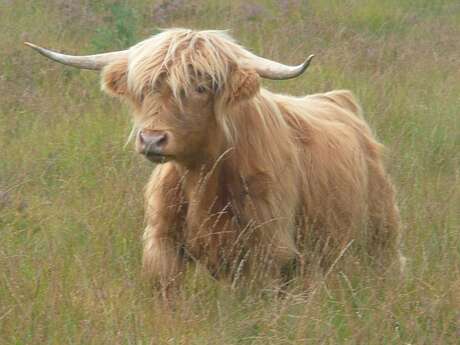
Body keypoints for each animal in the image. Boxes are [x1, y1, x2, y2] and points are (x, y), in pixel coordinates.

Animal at [27, 28, 404, 292]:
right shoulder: (162, 243)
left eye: (201, 87)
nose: (152, 139)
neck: (201, 178)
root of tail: (338, 100)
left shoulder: (269, 252)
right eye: (145, 89)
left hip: (380, 235)